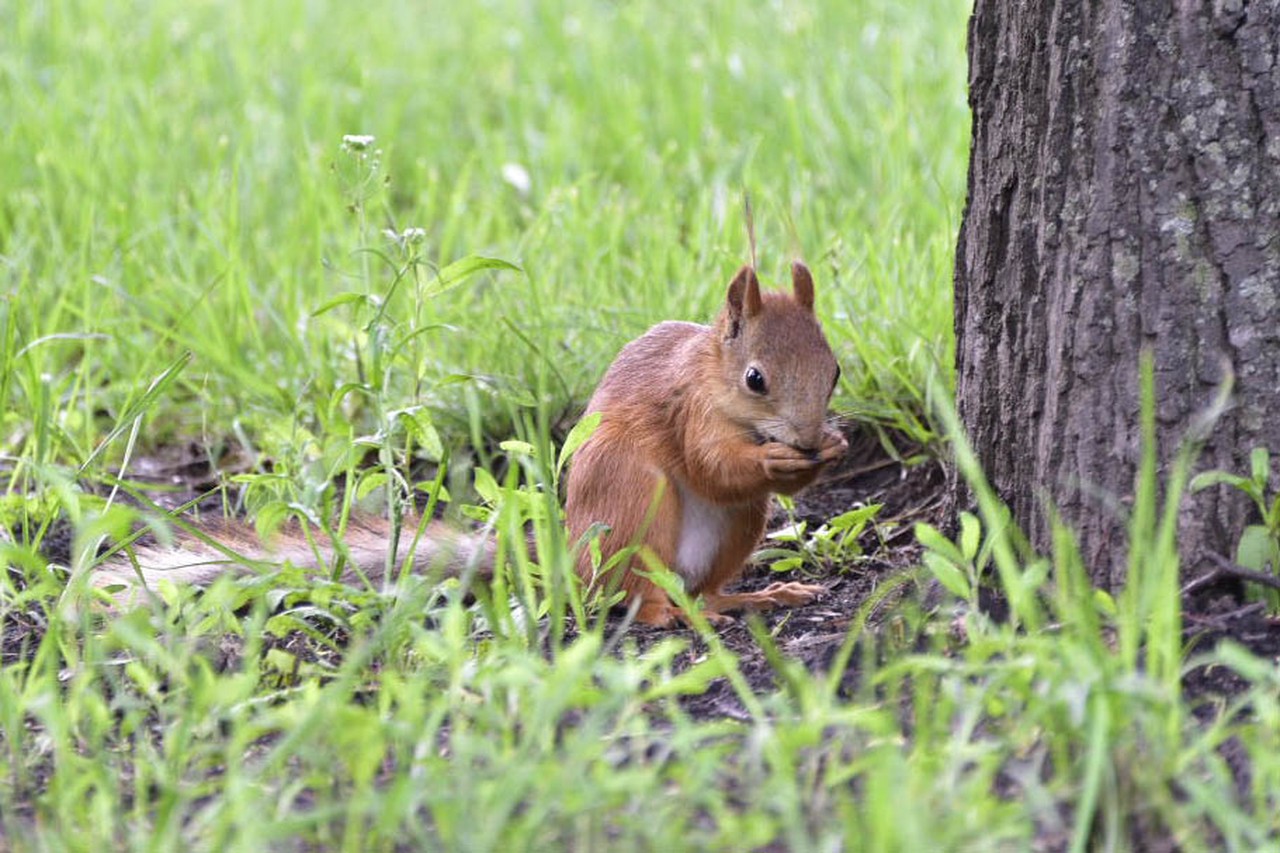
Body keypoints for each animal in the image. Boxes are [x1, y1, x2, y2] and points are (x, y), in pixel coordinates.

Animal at [94, 258, 844, 625]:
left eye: (835, 370)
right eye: (755, 378)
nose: (808, 436)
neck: (714, 379)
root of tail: (568, 559)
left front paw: (829, 450)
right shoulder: (685, 407)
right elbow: (711, 464)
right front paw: (773, 456)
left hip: (732, 531)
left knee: (703, 586)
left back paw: (746, 600)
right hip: (631, 494)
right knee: (626, 593)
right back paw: (668, 613)